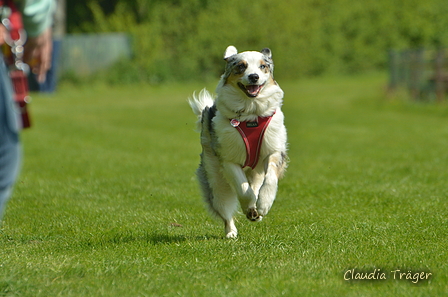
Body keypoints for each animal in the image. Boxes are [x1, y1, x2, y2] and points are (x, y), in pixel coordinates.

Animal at [188, 45, 288, 237]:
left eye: (263, 66)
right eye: (241, 66)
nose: (254, 76)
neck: (251, 112)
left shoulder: (273, 149)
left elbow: (270, 178)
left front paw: (263, 205)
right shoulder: (228, 159)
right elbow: (243, 190)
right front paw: (250, 208)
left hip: (255, 170)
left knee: (255, 184)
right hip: (214, 178)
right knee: (225, 207)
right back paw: (231, 233)